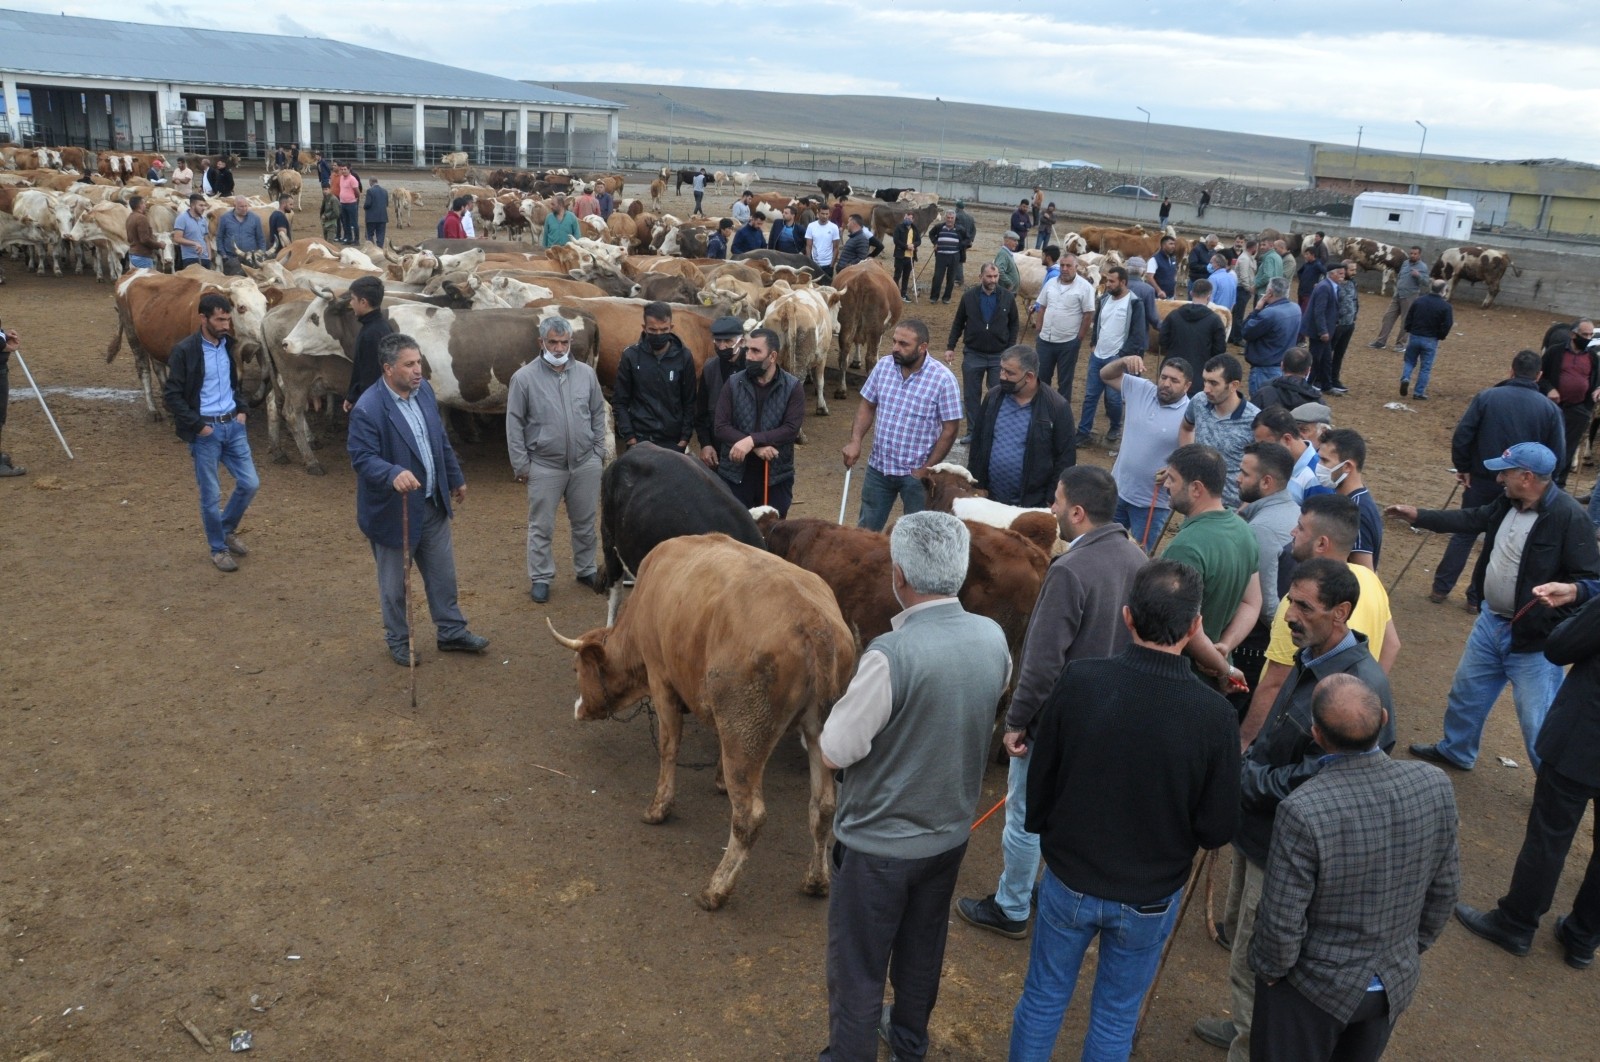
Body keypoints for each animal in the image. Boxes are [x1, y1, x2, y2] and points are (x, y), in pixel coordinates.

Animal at [547, 534, 857, 908]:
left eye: (576, 669)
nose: (577, 708)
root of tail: (814, 623)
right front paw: (719, 779)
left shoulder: (661, 680)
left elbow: (669, 748)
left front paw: (659, 808)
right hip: (817, 730)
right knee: (823, 807)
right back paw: (815, 880)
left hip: (747, 729)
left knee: (749, 816)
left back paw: (716, 889)